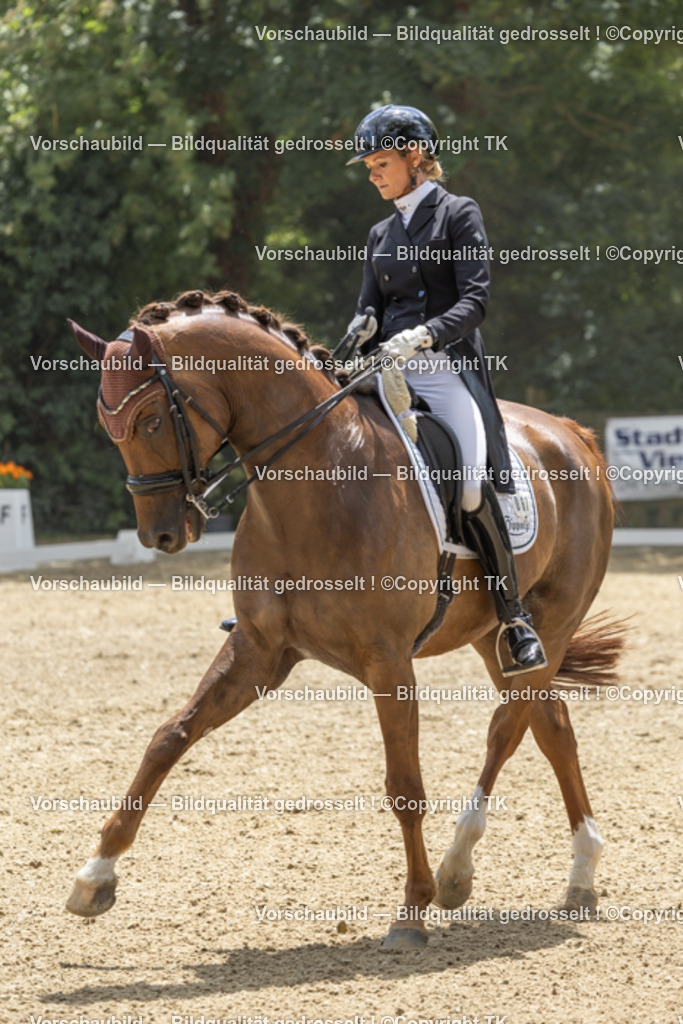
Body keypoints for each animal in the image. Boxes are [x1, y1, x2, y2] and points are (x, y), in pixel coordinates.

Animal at [65, 289, 625, 949]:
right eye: (109, 427)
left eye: (152, 419)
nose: (162, 535)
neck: (314, 483)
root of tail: (571, 433)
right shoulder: (260, 650)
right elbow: (169, 737)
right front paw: (95, 876)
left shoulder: (388, 662)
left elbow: (404, 786)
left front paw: (412, 910)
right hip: (495, 635)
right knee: (551, 724)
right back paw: (579, 875)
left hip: (553, 620)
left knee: (508, 728)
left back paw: (458, 867)